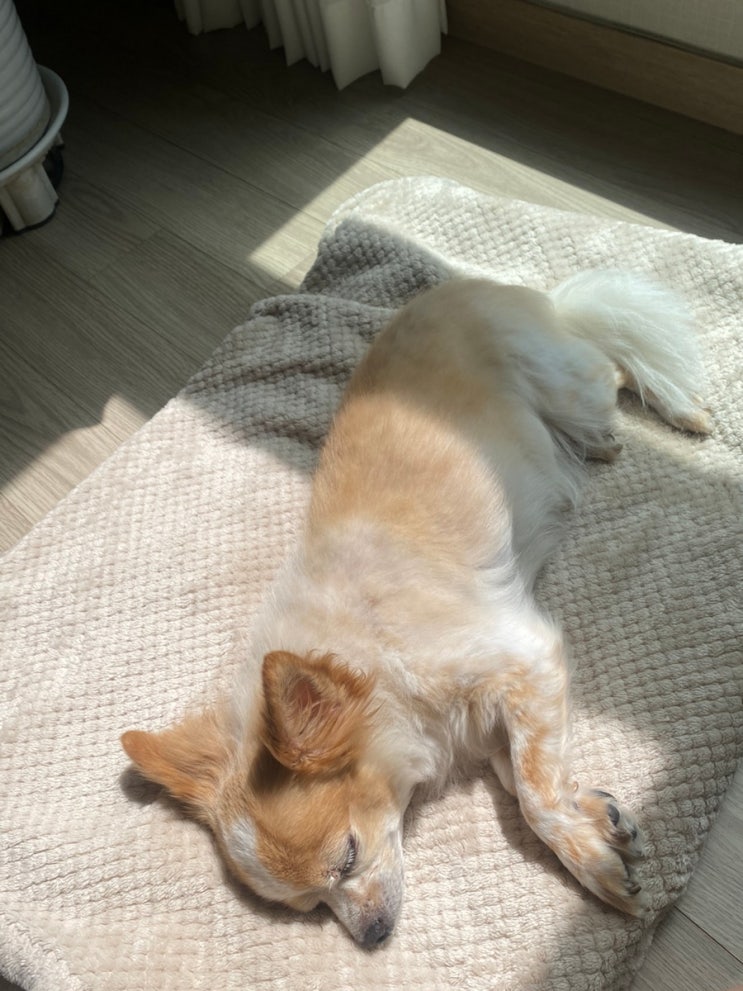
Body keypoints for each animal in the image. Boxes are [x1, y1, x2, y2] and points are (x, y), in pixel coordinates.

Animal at [122, 271, 710, 947]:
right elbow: (523, 772)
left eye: (347, 857)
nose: (372, 936)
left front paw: (592, 864)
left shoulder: (527, 659)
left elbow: (534, 794)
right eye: (310, 907)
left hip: (571, 386)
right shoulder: (500, 709)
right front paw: (598, 816)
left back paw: (682, 414)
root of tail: (482, 287)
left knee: (612, 363)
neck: (376, 657)